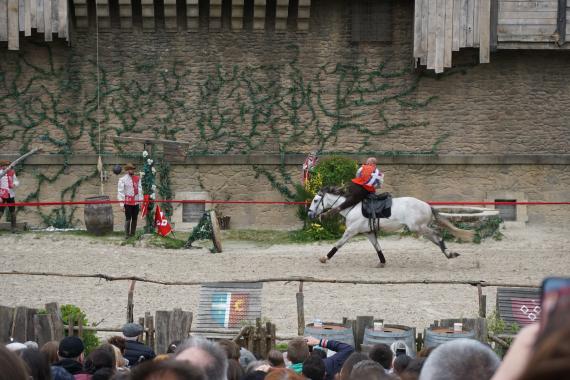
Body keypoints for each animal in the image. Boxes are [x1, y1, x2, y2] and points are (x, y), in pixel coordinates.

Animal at [308, 188, 472, 268]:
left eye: (315, 200)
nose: (309, 214)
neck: (352, 207)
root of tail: (427, 205)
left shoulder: (350, 232)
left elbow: (338, 244)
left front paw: (324, 258)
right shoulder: (368, 233)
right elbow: (377, 247)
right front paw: (382, 262)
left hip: (418, 227)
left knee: (437, 235)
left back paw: (449, 253)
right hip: (420, 228)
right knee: (436, 238)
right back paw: (449, 254)